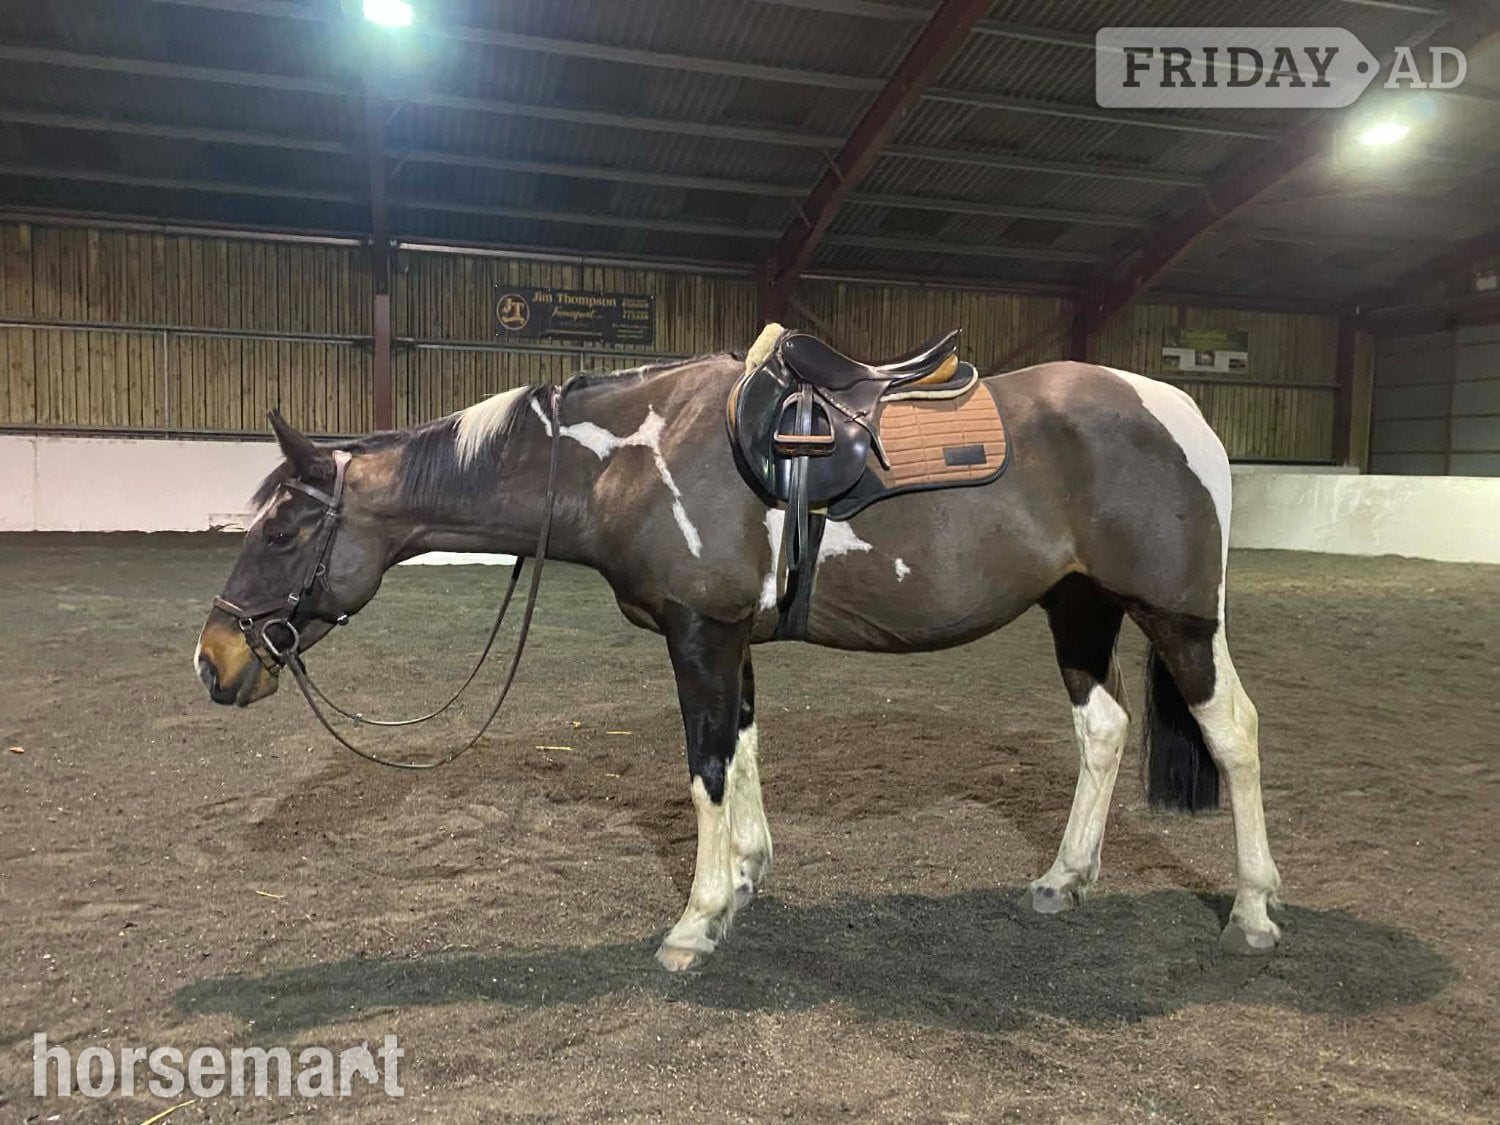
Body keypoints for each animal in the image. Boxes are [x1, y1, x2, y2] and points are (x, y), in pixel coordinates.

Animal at [194, 326, 1283, 972]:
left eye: (284, 529)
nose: (214, 660)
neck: (631, 459)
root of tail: (1182, 413)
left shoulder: (700, 635)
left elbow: (707, 768)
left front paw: (697, 918)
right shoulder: (731, 640)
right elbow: (746, 750)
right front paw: (750, 876)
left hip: (1179, 617)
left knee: (1234, 733)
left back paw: (1255, 910)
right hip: (1080, 610)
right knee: (1102, 732)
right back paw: (1064, 880)